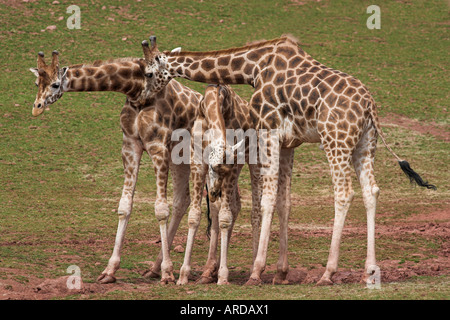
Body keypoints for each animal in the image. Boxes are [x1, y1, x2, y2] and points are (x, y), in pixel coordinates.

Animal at [142, 36, 436, 286]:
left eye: (147, 73)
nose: (145, 98)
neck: (252, 67)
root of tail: (369, 107)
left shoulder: (268, 130)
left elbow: (268, 199)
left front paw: (257, 272)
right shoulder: (289, 142)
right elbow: (284, 201)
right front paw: (280, 273)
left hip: (336, 141)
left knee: (343, 193)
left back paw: (328, 273)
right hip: (365, 144)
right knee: (370, 191)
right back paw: (370, 271)